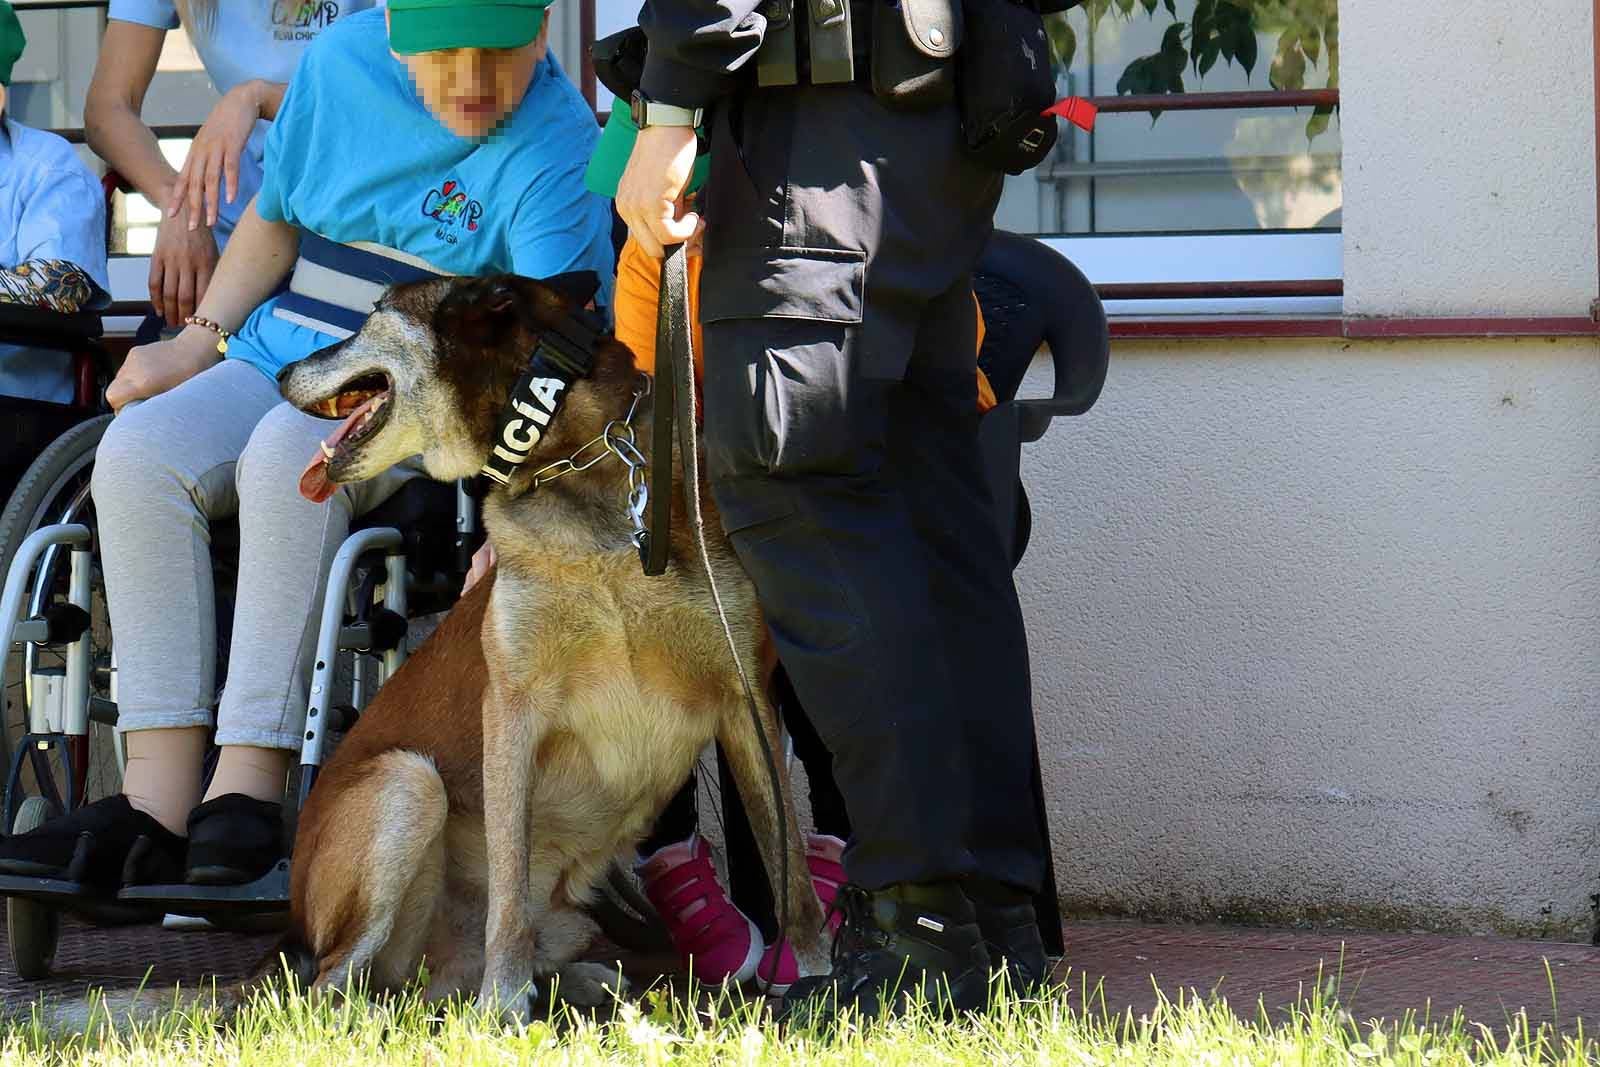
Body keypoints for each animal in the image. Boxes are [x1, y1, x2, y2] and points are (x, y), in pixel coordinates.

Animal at [272, 271, 825, 1017]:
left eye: (373, 313)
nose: (279, 371)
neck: (568, 457)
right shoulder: (512, 708)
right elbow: (508, 887)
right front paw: (503, 1006)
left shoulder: (747, 700)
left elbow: (787, 858)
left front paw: (816, 972)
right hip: (408, 781)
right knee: (331, 985)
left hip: (555, 906)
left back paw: (579, 984)